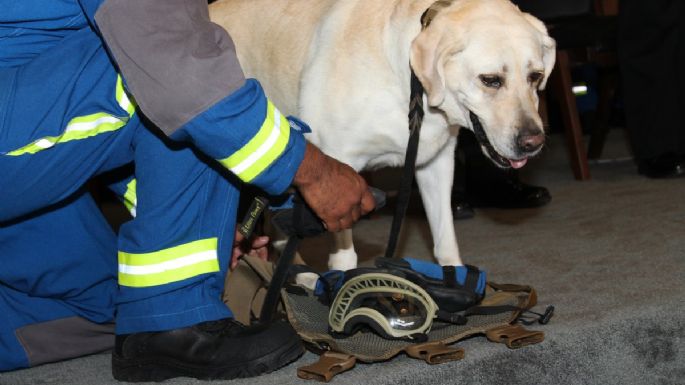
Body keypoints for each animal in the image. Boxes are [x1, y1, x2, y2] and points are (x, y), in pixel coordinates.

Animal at [210, 0, 556, 270]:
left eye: (535, 76)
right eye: (490, 80)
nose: (534, 142)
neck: (408, 82)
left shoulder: (435, 164)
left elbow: (445, 241)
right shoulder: (338, 179)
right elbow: (345, 258)